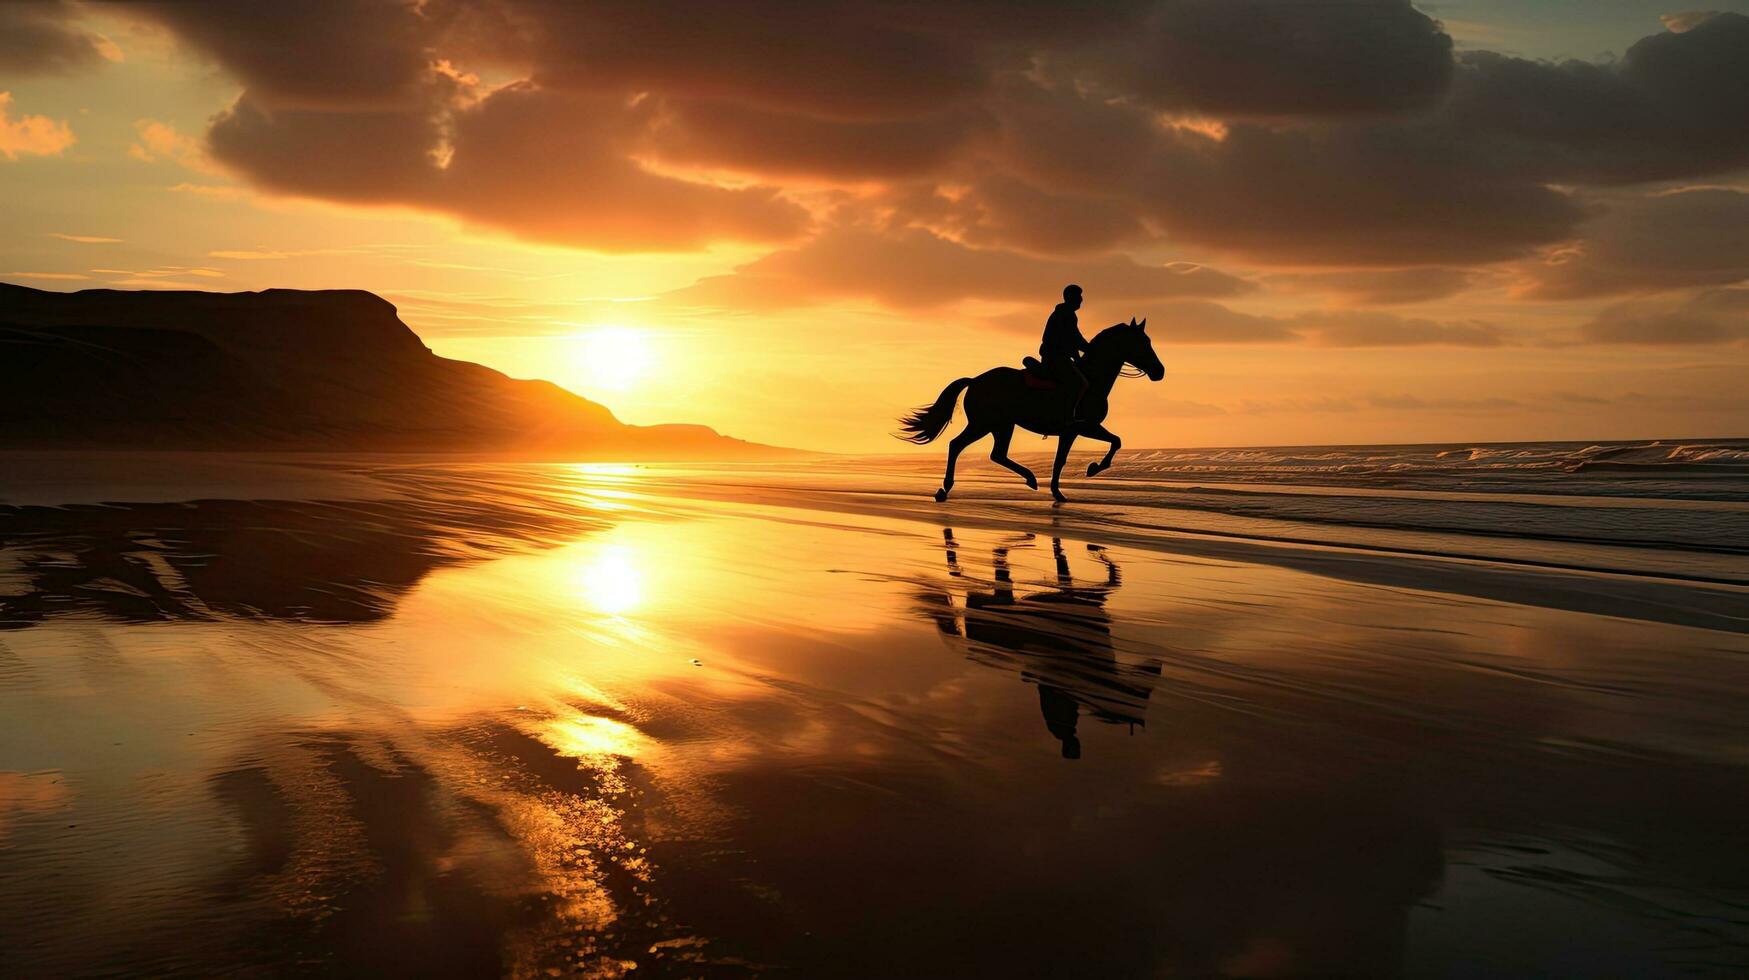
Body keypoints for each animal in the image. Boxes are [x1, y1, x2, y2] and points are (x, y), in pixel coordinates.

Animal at [895, 318, 1168, 500]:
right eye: (1142, 343)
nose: (1160, 371)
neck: (1093, 377)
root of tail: (975, 380)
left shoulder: (1072, 432)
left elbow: (1064, 459)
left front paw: (1059, 491)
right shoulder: (1083, 427)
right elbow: (1115, 442)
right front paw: (1092, 470)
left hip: (1001, 425)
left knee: (996, 454)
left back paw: (1029, 479)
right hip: (985, 424)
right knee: (958, 445)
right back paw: (946, 488)